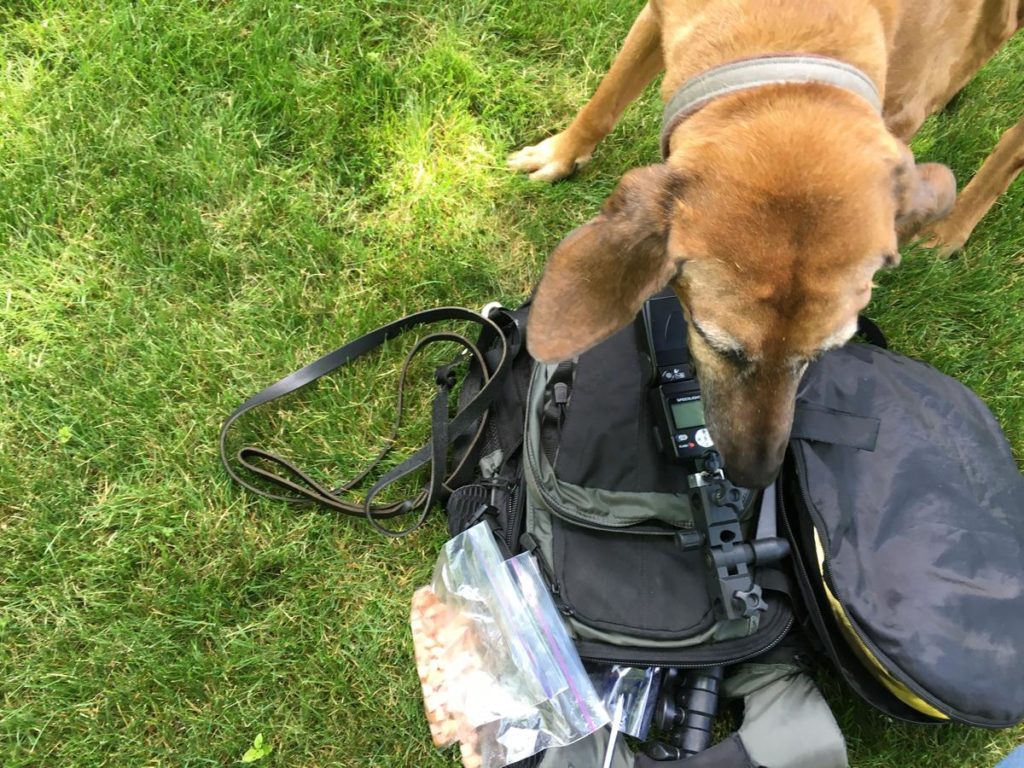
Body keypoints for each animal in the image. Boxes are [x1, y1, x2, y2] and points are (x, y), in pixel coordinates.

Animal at [507, 0, 1019, 489]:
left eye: (822, 355)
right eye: (718, 345)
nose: (756, 475)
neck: (793, 33)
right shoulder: (656, 16)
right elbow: (606, 97)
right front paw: (561, 154)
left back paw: (952, 228)